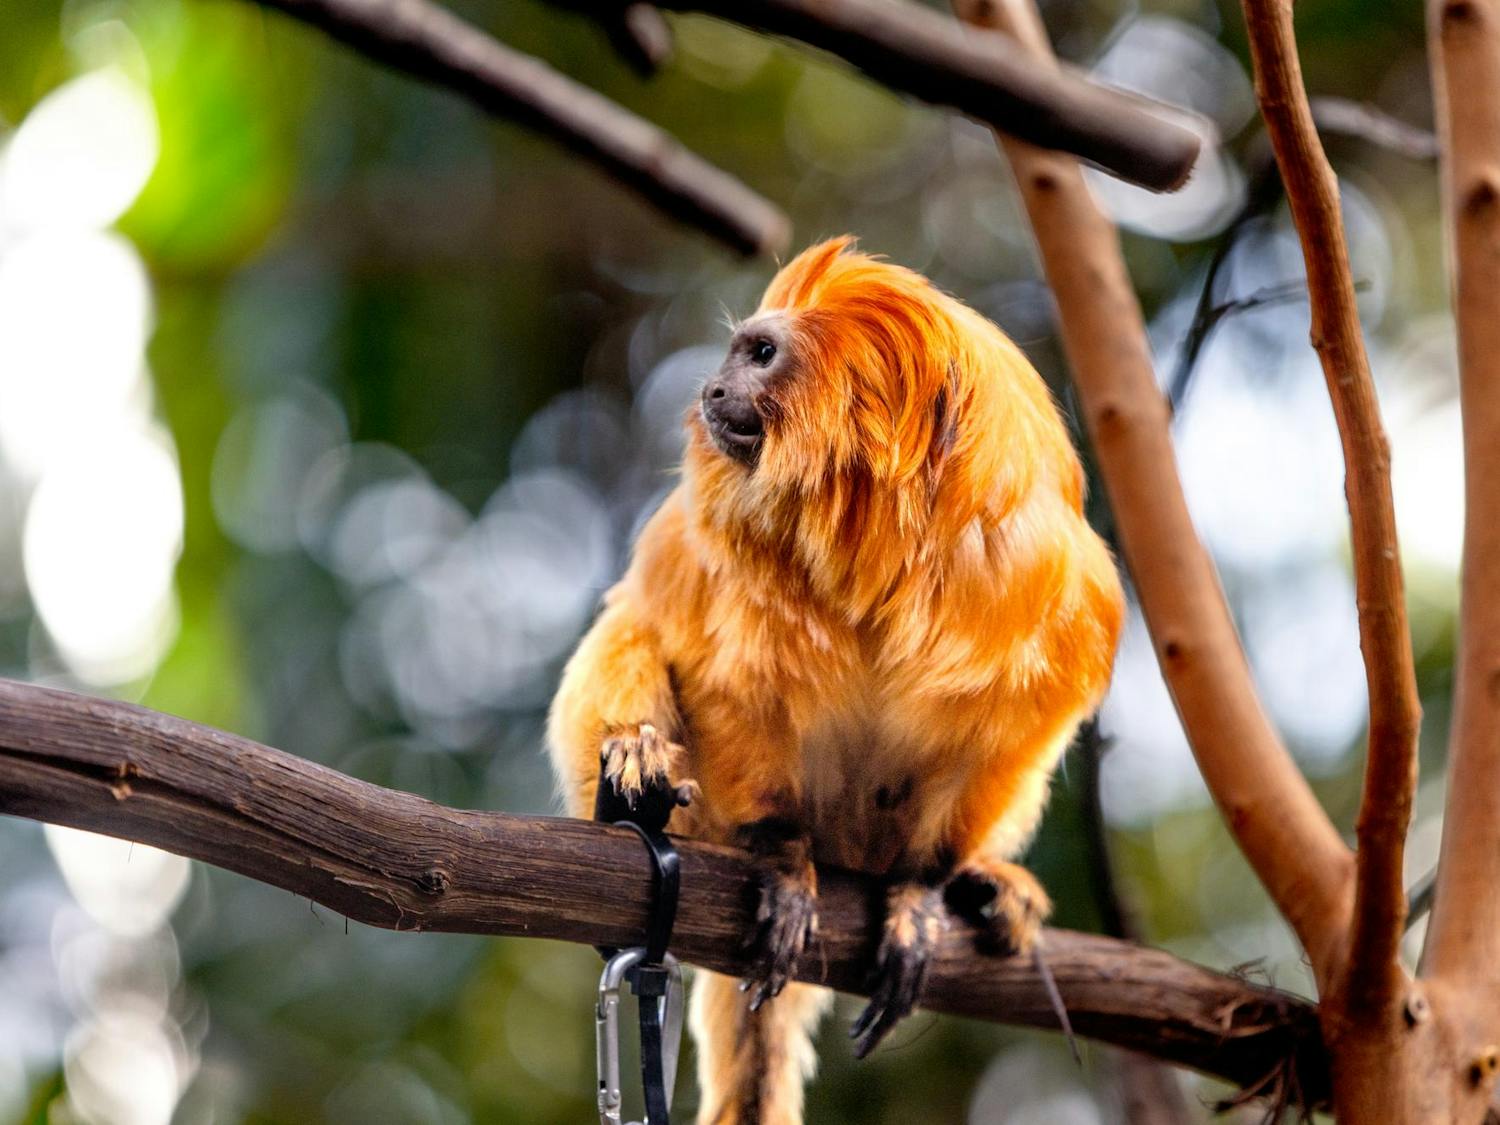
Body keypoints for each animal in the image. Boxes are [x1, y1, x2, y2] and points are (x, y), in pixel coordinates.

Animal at [548, 237, 1124, 1125]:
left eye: (759, 355)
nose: (711, 389)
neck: (882, 540)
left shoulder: (1051, 596)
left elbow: (1001, 747)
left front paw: (919, 893)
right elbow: (724, 686)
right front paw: (783, 860)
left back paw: (985, 886)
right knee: (630, 635)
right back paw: (633, 783)